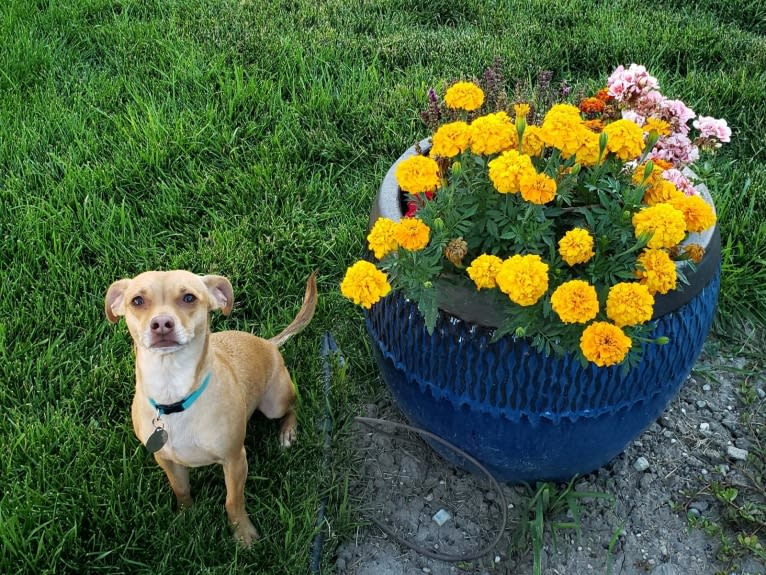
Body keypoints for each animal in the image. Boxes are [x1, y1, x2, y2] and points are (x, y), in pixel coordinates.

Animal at [103, 272, 316, 548]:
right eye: (137, 301)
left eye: (189, 297)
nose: (161, 323)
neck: (173, 394)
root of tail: (267, 342)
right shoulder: (166, 460)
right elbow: (181, 489)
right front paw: (186, 516)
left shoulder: (235, 459)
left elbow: (233, 500)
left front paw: (243, 533)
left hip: (274, 403)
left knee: (293, 405)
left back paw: (288, 432)